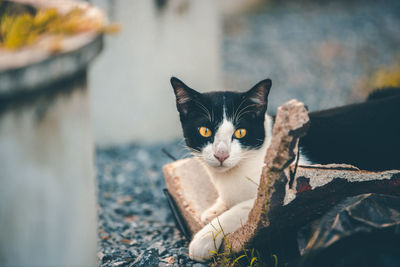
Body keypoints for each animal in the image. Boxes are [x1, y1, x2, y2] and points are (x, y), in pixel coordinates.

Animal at [170, 76, 400, 262]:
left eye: (240, 132)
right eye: (205, 130)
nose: (221, 155)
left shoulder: (301, 181)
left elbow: (244, 208)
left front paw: (204, 237)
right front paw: (213, 210)